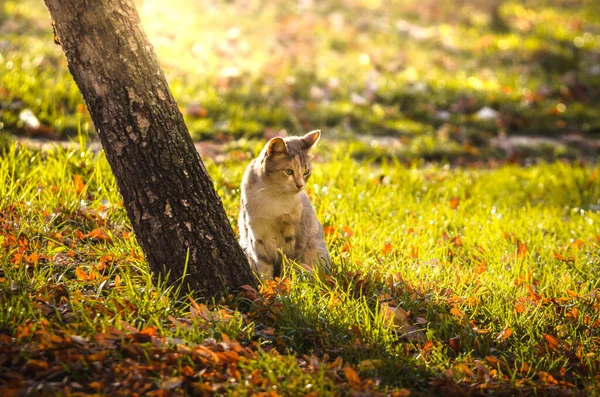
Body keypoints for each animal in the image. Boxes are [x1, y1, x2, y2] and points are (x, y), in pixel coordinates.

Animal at [239, 130, 332, 278]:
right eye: (288, 171)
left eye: (306, 172)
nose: (300, 185)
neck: (273, 196)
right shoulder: (256, 233)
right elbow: (263, 265)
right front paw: (267, 284)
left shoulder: (295, 232)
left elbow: (289, 262)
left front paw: (285, 281)